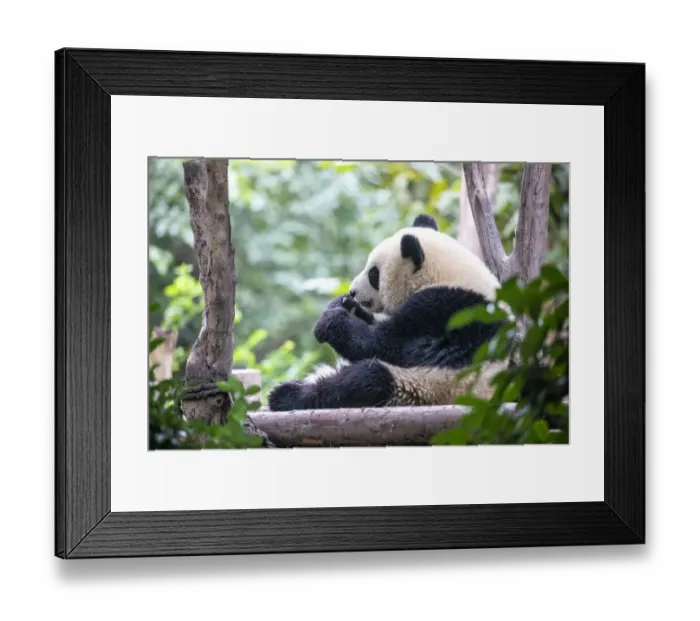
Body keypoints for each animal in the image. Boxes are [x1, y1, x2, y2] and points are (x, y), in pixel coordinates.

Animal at [267, 213, 508, 412]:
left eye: (374, 274)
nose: (352, 291)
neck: (450, 277)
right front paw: (344, 305)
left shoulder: (445, 311)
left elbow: (385, 345)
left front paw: (330, 321)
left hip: (427, 387)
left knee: (366, 380)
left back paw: (285, 395)